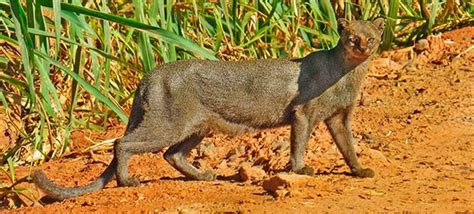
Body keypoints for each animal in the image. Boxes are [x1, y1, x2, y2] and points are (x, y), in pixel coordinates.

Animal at [32, 17, 382, 200]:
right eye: (352, 38)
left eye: (371, 38)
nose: (363, 47)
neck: (346, 75)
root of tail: (150, 74)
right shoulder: (303, 113)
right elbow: (299, 145)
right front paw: (300, 169)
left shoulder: (340, 118)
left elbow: (348, 147)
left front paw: (360, 170)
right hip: (169, 124)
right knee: (123, 142)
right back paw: (127, 181)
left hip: (197, 127)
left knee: (171, 154)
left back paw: (203, 176)